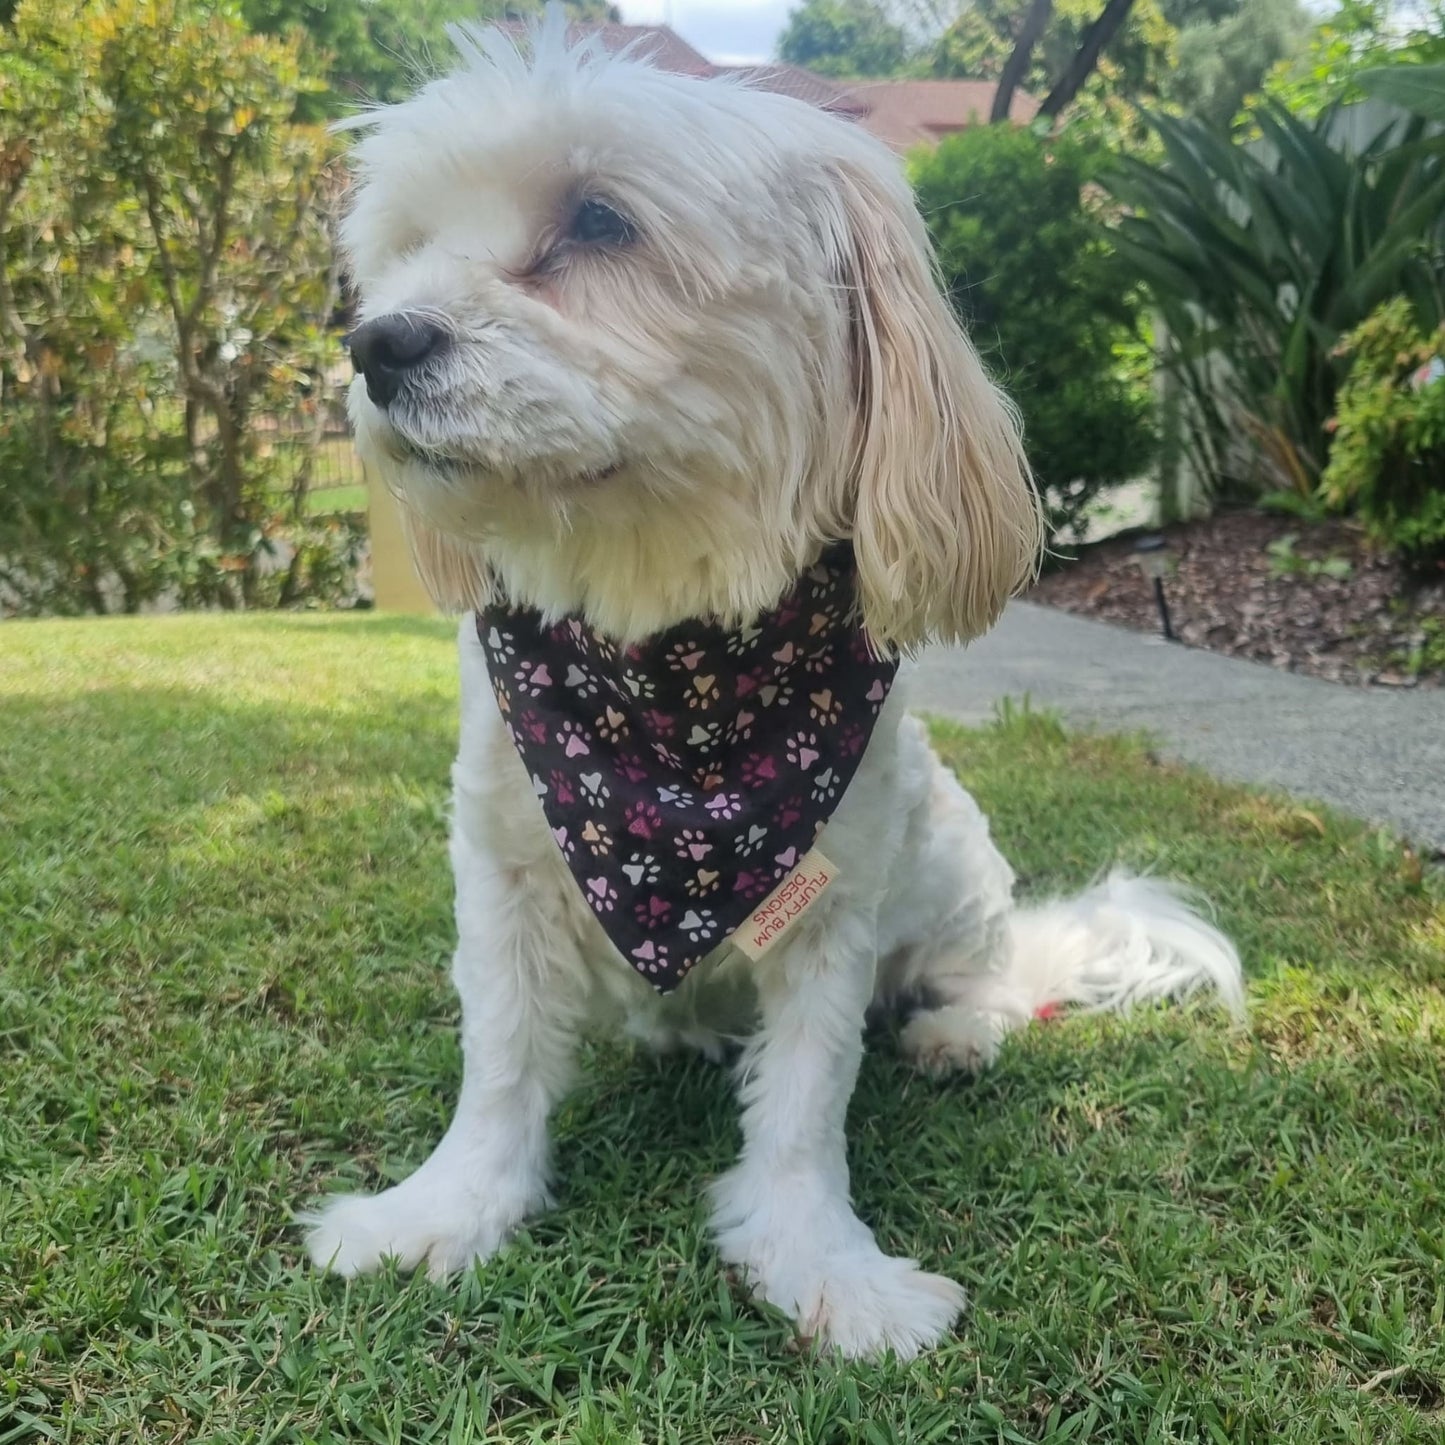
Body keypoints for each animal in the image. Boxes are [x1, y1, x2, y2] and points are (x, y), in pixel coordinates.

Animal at [304, 16, 1242, 1358]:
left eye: (599, 222)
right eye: (411, 246)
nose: (378, 344)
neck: (665, 659)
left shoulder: (833, 896)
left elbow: (805, 1096)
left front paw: (820, 1262)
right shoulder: (499, 864)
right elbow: (500, 1060)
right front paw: (445, 1208)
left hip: (952, 862)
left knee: (1003, 974)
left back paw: (956, 1027)